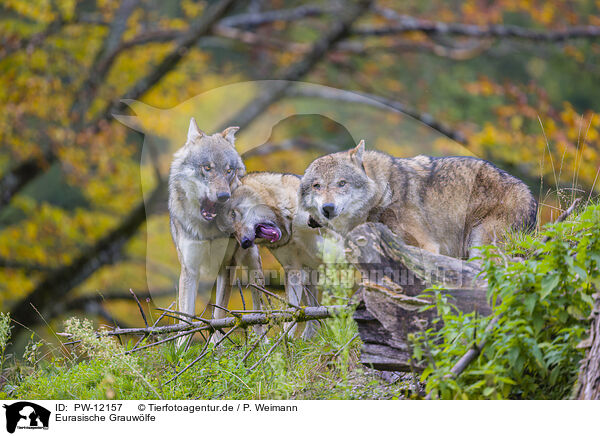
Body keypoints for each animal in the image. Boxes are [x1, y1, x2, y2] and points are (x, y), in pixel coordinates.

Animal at [169, 117, 262, 338]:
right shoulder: (190, 269)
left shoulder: (227, 266)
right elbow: (186, 321)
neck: (208, 230)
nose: (223, 196)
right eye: (207, 168)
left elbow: (219, 316)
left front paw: (215, 344)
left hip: (253, 264)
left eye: (228, 171)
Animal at [300, 141, 540, 258]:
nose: (327, 208)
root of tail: (530, 196)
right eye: (316, 186)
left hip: (481, 247)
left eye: (342, 183)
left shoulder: (428, 246)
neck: (384, 193)